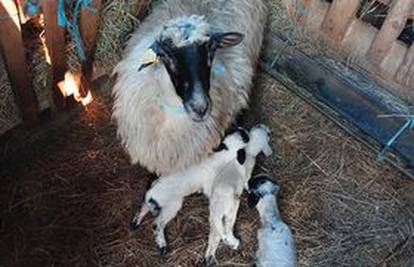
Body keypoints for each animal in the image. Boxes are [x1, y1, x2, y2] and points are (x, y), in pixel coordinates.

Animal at [131, 127, 251, 255]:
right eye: (244, 136)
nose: (244, 129)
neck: (220, 156)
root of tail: (151, 195)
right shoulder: (209, 185)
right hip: (173, 204)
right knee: (157, 224)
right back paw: (163, 246)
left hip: (162, 199)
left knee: (144, 207)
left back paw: (135, 223)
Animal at [203, 124, 274, 266]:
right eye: (266, 134)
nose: (265, 127)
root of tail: (217, 208)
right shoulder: (247, 175)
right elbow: (247, 182)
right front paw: (248, 189)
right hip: (230, 211)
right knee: (227, 230)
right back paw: (235, 243)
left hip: (214, 220)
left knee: (215, 235)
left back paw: (209, 256)